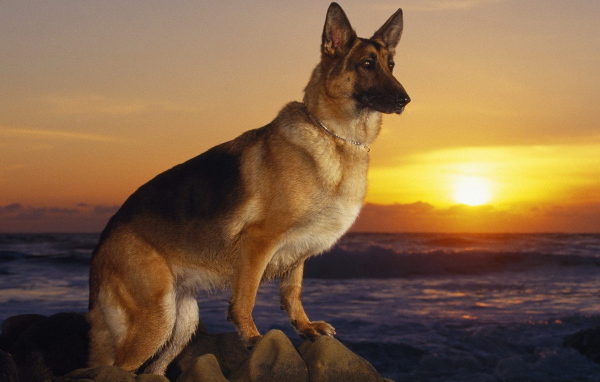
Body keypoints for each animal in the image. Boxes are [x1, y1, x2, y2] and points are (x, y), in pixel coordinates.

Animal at [88, 2, 408, 374]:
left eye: (391, 65)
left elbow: (292, 293)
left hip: (181, 323)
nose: (405, 99)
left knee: (153, 370)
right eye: (367, 64)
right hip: (156, 318)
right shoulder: (259, 242)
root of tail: (104, 239)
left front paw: (305, 328)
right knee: (116, 367)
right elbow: (246, 298)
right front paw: (253, 337)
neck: (333, 135)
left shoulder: (298, 251)